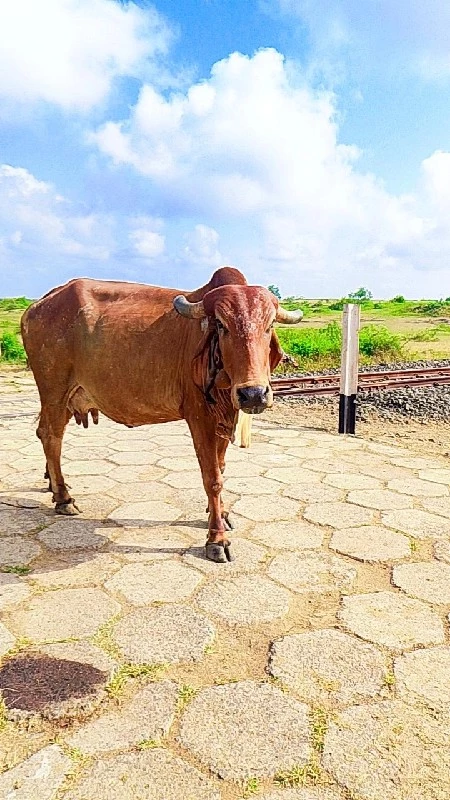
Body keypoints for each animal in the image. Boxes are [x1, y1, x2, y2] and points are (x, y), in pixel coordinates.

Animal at [21, 268, 302, 564]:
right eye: (222, 325)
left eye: (269, 326)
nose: (254, 394)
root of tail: (39, 304)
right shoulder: (199, 416)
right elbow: (213, 479)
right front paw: (216, 539)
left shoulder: (225, 418)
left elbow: (221, 467)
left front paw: (222, 514)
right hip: (54, 390)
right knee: (50, 435)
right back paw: (63, 497)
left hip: (66, 398)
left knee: (49, 435)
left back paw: (53, 486)